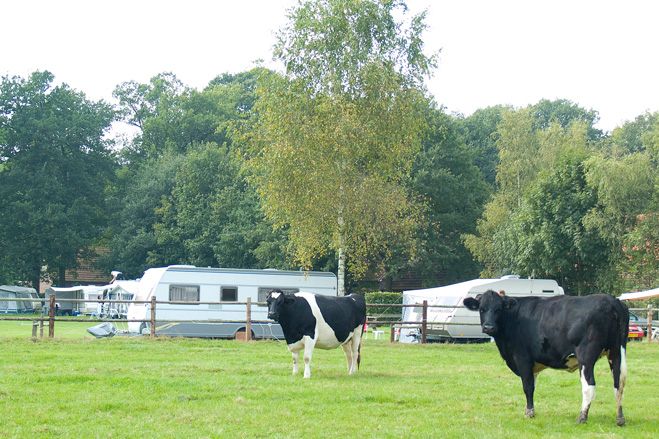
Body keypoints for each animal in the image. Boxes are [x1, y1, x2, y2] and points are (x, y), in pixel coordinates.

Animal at [463, 290, 629, 426]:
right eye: (482, 309)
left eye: (498, 309)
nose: (488, 327)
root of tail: (611, 300)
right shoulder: (533, 365)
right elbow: (532, 385)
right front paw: (528, 410)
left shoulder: (522, 358)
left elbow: (527, 386)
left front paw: (530, 413)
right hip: (617, 352)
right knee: (619, 383)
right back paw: (620, 418)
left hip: (586, 356)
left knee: (589, 385)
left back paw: (582, 417)